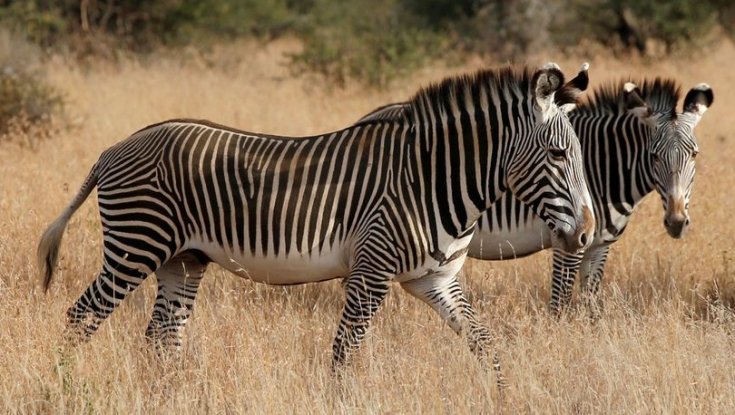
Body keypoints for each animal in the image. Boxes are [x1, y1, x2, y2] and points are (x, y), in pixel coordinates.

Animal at [37, 62, 596, 386]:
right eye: (558, 153)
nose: (588, 233)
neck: (430, 179)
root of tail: (114, 149)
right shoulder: (370, 272)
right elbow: (345, 353)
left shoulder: (436, 279)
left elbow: (487, 346)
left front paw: (507, 395)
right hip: (136, 246)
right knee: (81, 316)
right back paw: (60, 383)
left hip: (183, 259)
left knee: (162, 336)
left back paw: (168, 395)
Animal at [356, 79, 712, 318]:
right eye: (653, 156)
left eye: (694, 155)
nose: (676, 222)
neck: (603, 167)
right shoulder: (567, 242)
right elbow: (560, 303)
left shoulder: (599, 246)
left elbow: (591, 305)